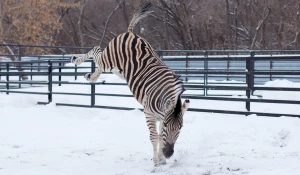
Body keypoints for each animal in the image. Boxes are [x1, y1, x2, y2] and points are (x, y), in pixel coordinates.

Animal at [69, 2, 190, 165]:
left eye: (180, 127)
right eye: (166, 125)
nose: (169, 153)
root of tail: (131, 33)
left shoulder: (160, 116)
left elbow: (159, 137)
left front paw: (161, 159)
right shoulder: (149, 113)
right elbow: (155, 137)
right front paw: (156, 161)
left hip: (117, 70)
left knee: (99, 63)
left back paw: (91, 77)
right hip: (109, 60)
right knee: (96, 51)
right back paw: (76, 60)